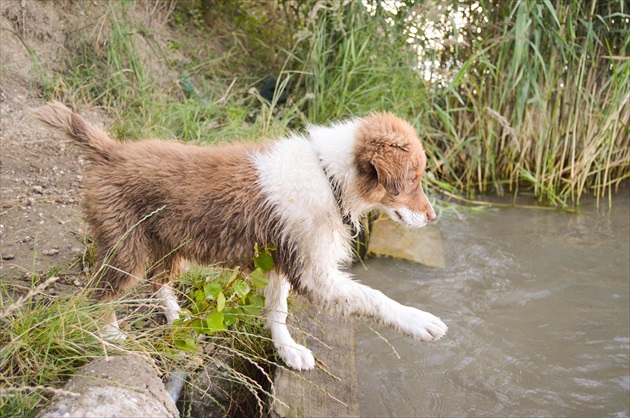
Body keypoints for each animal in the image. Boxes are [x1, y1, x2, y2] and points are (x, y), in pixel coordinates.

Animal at [33, 103, 450, 370]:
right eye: (413, 179)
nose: (433, 216)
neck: (329, 177)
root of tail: (112, 151)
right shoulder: (314, 271)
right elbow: (374, 297)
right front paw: (420, 321)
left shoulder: (283, 256)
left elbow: (277, 309)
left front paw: (288, 351)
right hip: (126, 248)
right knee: (97, 293)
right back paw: (111, 336)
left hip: (170, 242)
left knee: (158, 281)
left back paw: (176, 316)